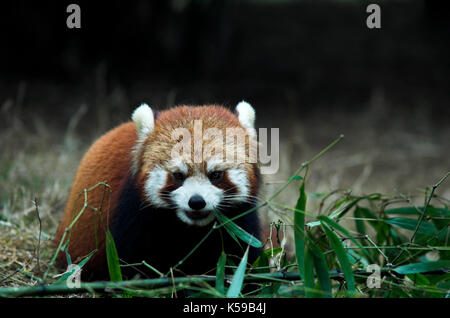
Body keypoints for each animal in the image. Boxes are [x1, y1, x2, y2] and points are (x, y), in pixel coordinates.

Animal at [54, 102, 262, 280]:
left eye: (216, 174)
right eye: (178, 175)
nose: (196, 201)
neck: (192, 230)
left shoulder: (240, 220)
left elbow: (244, 252)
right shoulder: (133, 214)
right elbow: (132, 263)